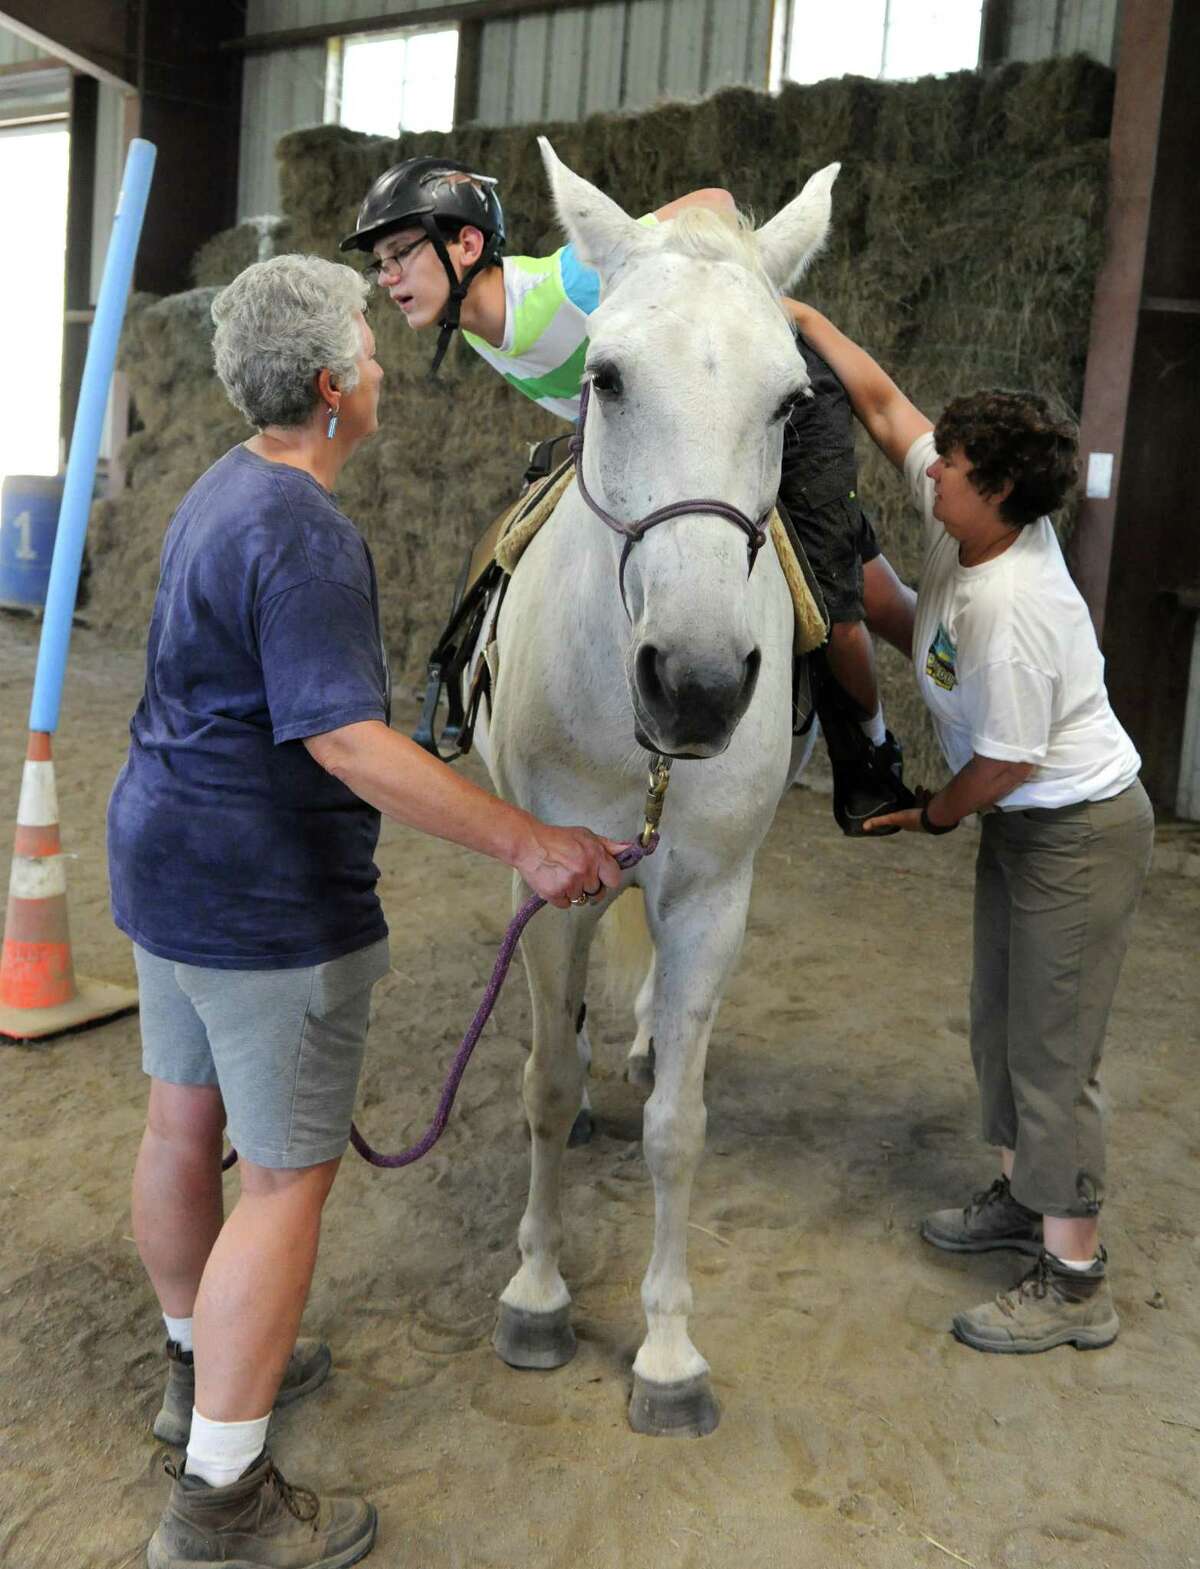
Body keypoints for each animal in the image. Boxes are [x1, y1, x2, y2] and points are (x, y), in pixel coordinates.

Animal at [473, 139, 838, 1438]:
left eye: (790, 400)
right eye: (610, 378)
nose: (695, 683)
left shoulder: (711, 898)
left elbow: (681, 1129)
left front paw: (669, 1354)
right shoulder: (550, 878)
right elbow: (541, 1083)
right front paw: (536, 1292)